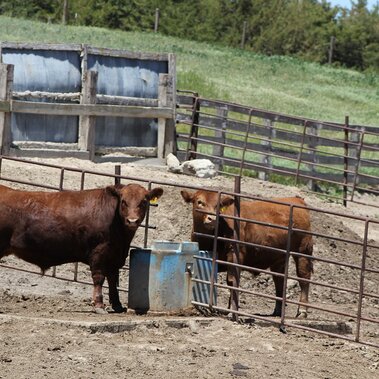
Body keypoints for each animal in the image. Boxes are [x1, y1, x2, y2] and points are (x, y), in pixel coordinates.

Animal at [0, 184, 163, 314]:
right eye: (123, 201)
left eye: (144, 201)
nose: (132, 221)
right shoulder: (99, 252)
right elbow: (99, 278)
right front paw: (99, 305)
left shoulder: (114, 256)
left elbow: (112, 279)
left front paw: (117, 305)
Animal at [181, 189, 314, 318]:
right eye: (199, 202)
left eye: (219, 205)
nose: (212, 219)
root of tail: (297, 200)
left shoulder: (235, 256)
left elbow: (232, 282)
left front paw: (231, 311)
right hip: (279, 257)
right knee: (279, 280)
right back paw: (277, 311)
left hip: (303, 251)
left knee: (303, 277)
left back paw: (302, 311)